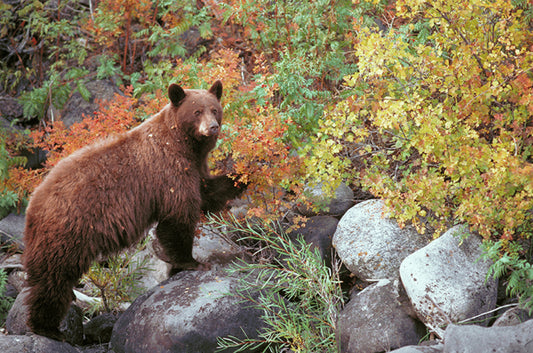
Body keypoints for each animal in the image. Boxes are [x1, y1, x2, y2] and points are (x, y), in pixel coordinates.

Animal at [21, 80, 244, 340]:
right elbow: (178, 217)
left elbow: (208, 192)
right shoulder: (169, 170)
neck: (182, 143)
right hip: (66, 230)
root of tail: (33, 203)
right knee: (54, 278)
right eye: (197, 111)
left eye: (214, 109)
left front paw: (245, 176)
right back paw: (47, 327)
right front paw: (192, 262)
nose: (212, 127)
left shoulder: (194, 168)